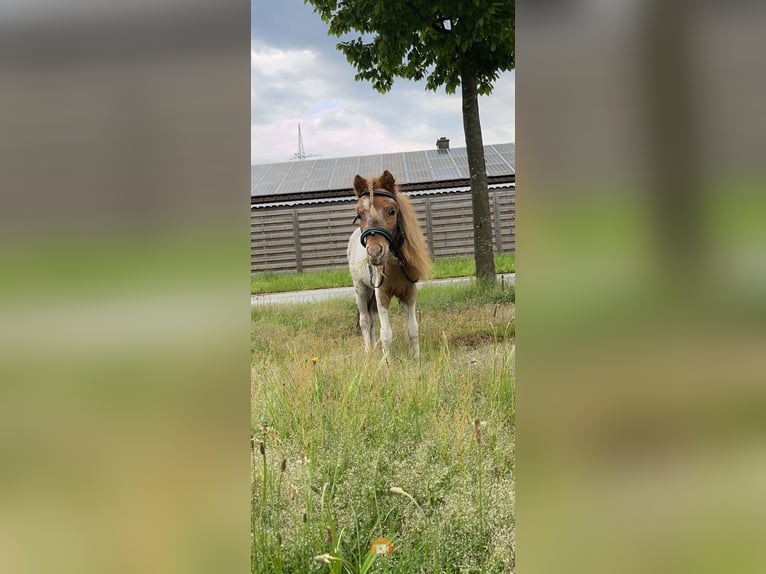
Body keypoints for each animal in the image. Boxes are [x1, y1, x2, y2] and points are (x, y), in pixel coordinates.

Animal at [348, 171, 432, 360]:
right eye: (359, 214)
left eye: (392, 211)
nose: (374, 252)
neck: (395, 265)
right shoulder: (382, 295)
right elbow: (386, 333)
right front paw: (386, 362)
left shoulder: (409, 293)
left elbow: (412, 329)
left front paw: (416, 358)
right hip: (361, 289)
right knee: (365, 321)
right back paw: (369, 352)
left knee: (371, 319)